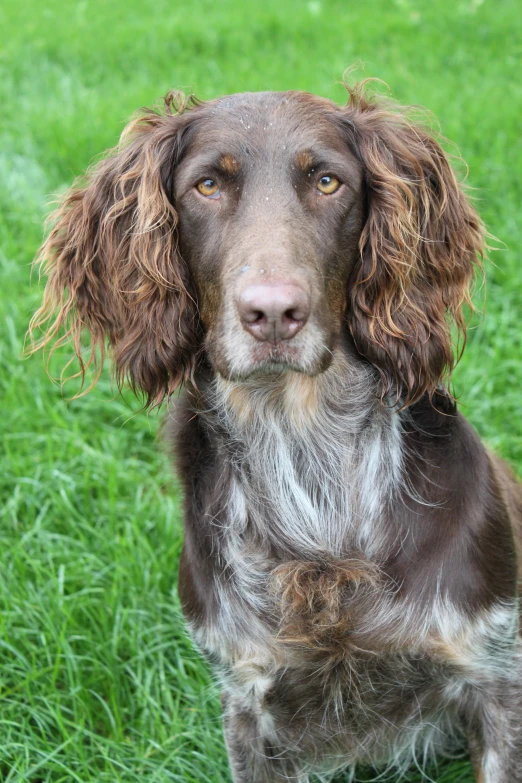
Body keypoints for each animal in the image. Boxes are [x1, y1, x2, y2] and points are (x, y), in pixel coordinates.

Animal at [27, 82, 520, 780]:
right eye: (206, 184)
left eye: (327, 181)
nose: (273, 312)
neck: (303, 446)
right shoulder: (249, 705)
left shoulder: (494, 677)